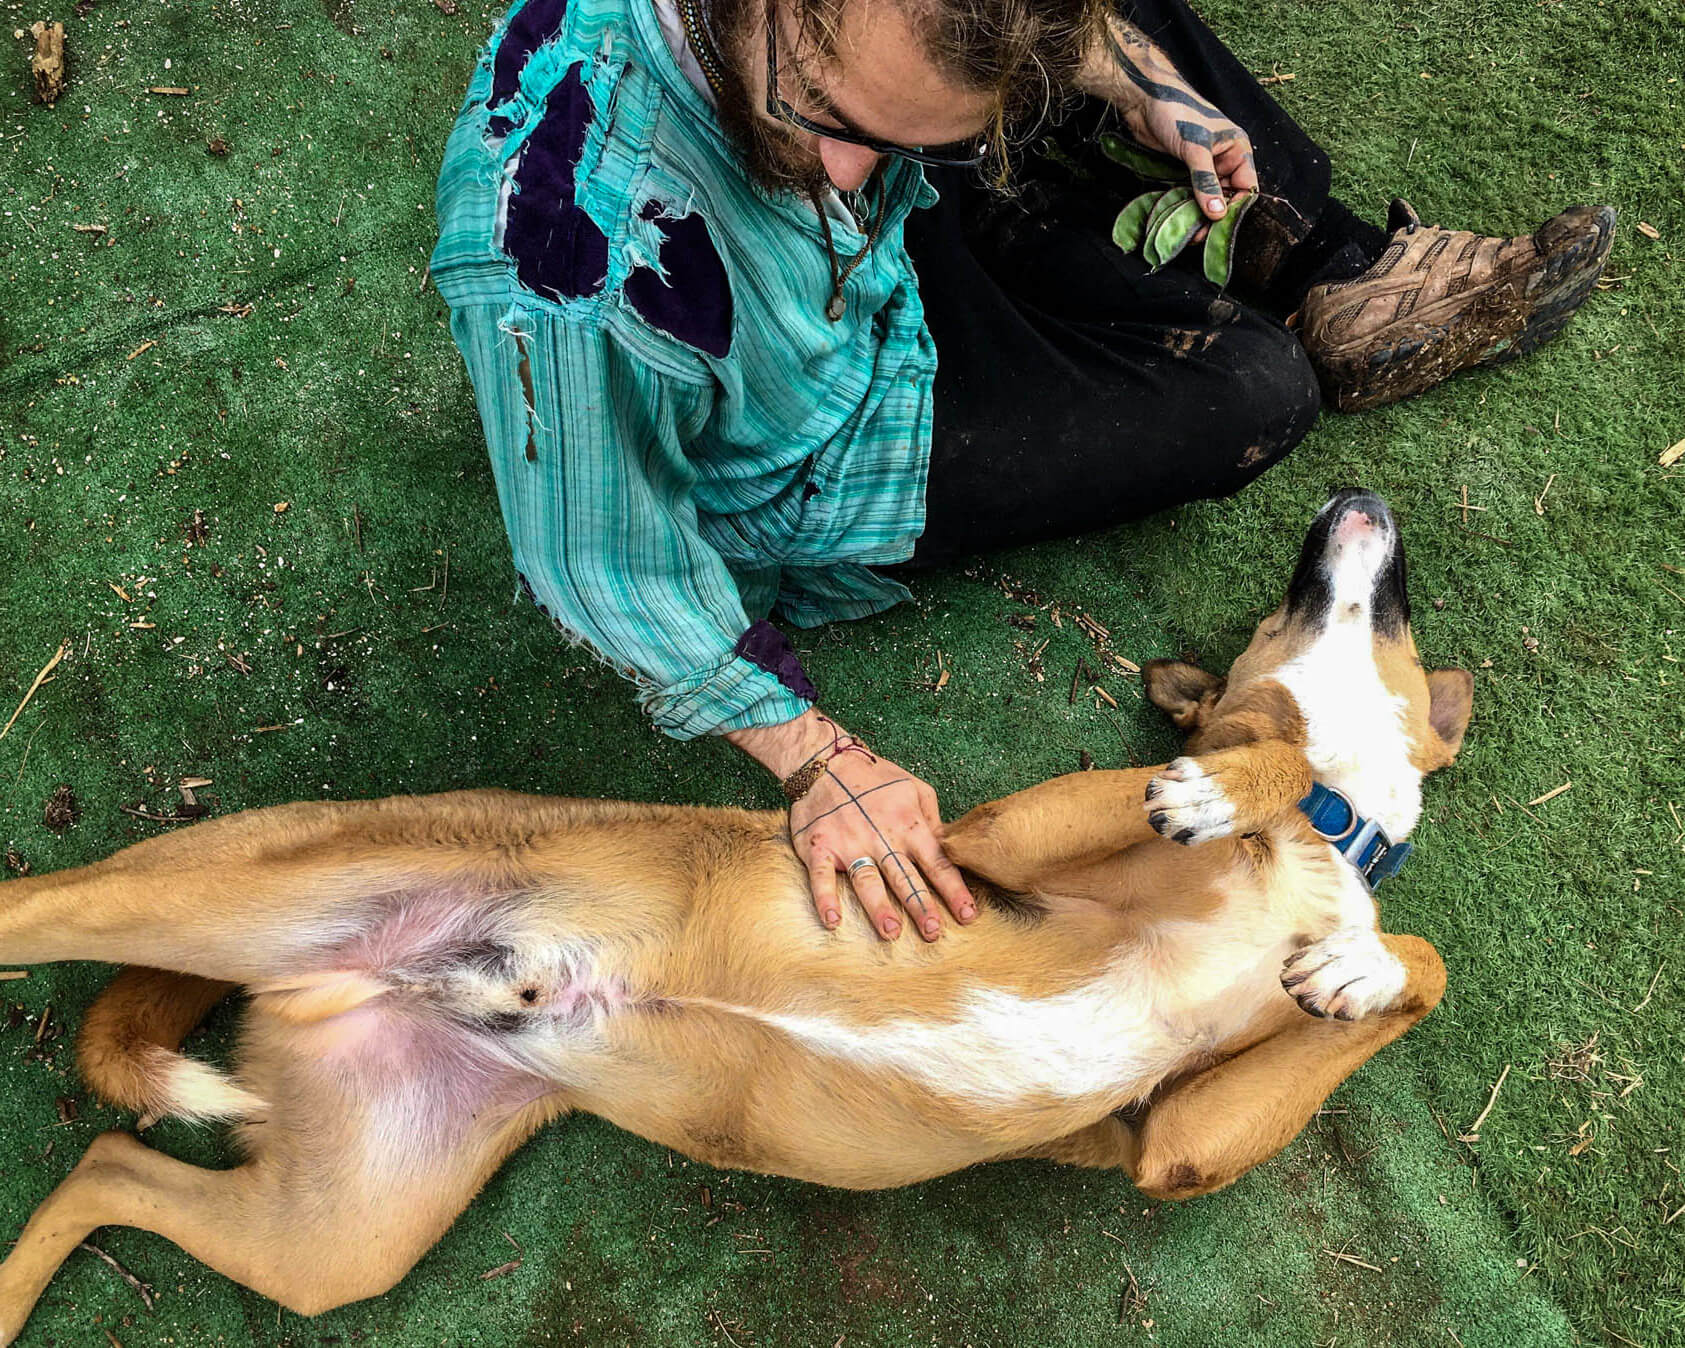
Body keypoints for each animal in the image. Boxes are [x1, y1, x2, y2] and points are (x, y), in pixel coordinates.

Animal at [0, 488, 1462, 1334]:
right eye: (1288, 603)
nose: (1354, 494)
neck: (1320, 852)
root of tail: (380, 974)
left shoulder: (1174, 1149)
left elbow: (1411, 959)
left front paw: (1355, 972)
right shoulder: (992, 841)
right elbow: (1275, 761)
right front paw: (1234, 797)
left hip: (335, 1237)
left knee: (109, 1161)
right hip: (243, 891)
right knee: (29, 912)